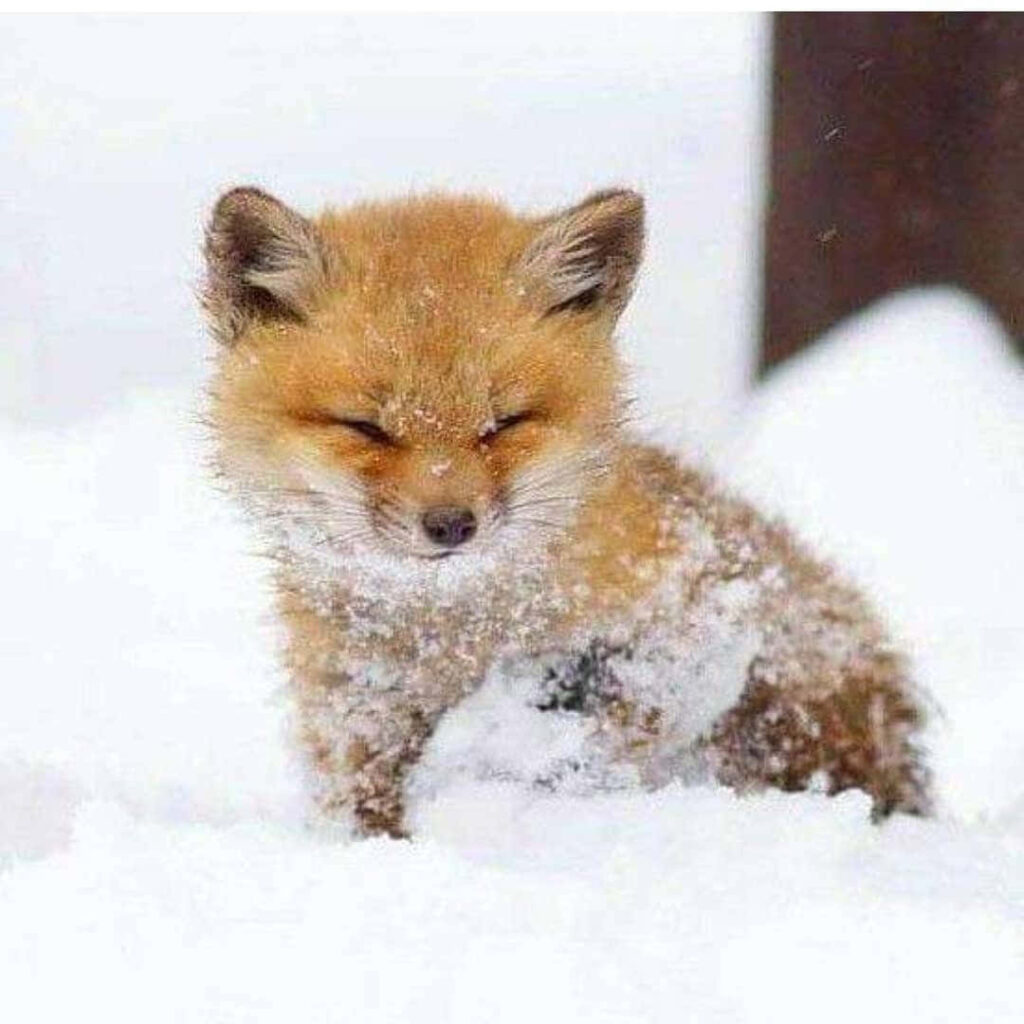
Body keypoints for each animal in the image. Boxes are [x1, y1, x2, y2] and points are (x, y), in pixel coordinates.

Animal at [202, 185, 930, 838]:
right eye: (365, 427)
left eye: (504, 423)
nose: (450, 525)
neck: (456, 640)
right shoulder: (355, 720)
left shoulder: (703, 615)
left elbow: (607, 717)